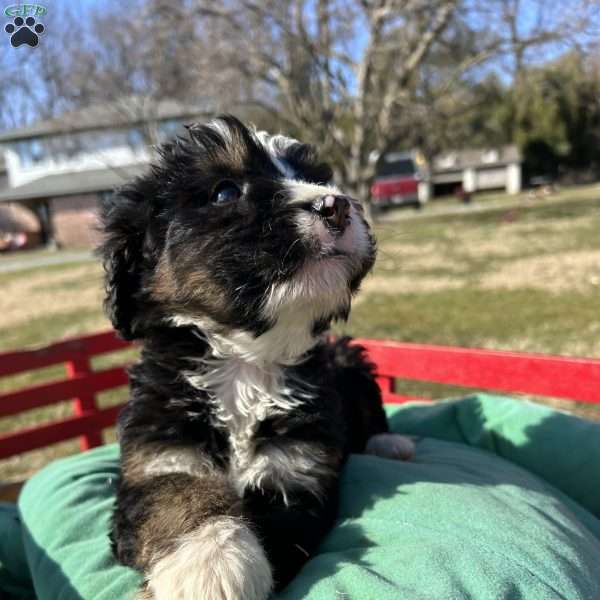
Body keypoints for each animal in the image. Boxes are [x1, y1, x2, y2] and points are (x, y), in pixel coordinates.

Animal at [101, 115, 414, 596]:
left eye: (315, 177)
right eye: (225, 192)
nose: (336, 204)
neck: (245, 362)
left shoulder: (296, 468)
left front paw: (216, 564)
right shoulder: (157, 457)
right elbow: (176, 493)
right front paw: (207, 562)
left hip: (347, 359)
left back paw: (389, 442)